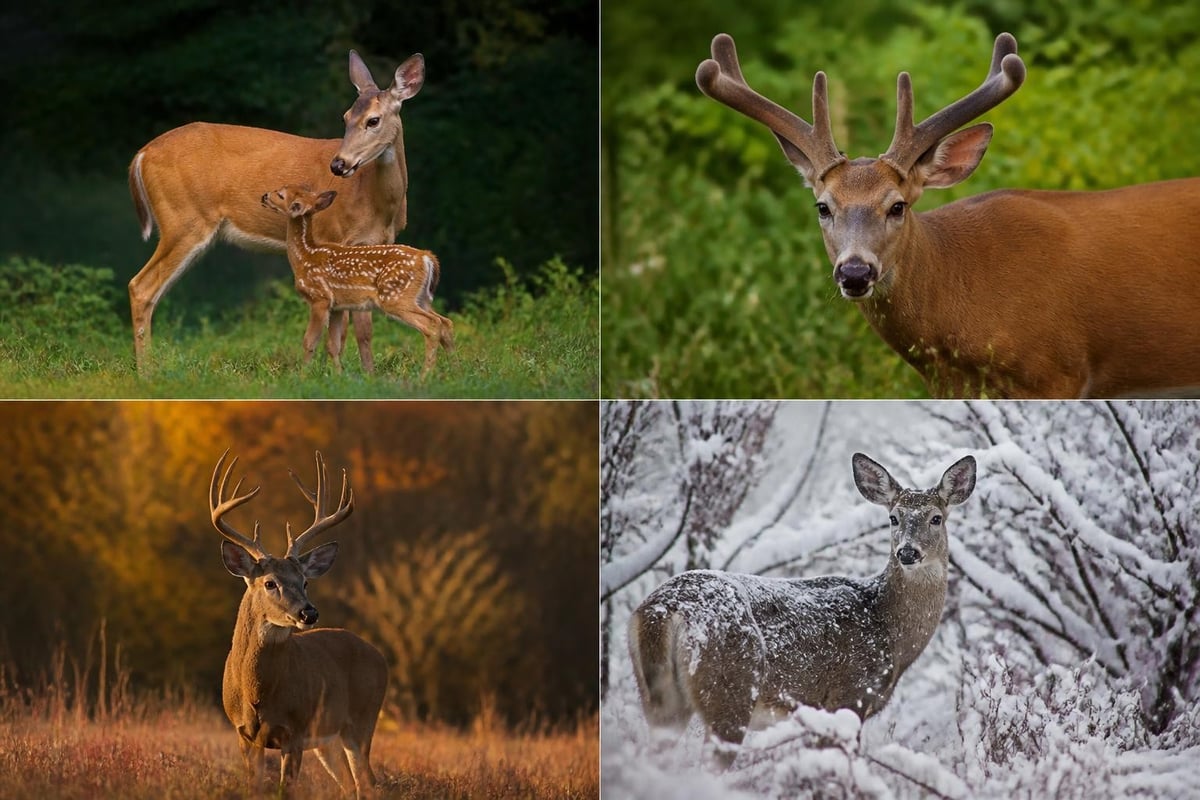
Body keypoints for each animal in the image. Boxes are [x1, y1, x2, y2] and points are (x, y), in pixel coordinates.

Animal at [128, 50, 424, 373]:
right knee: (141, 287)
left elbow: (359, 327)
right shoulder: (336, 238)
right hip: (184, 219)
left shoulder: (376, 246)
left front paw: (358, 374)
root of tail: (141, 155)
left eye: (373, 120)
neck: (377, 201)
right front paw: (347, 374)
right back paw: (146, 372)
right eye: (345, 117)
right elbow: (350, 326)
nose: (338, 164)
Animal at [210, 449, 388, 798]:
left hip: (362, 720)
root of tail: (380, 656)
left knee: (369, 784)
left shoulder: (294, 731)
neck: (258, 693)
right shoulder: (244, 735)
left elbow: (285, 791)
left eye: (305, 582)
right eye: (270, 583)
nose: (310, 613)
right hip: (327, 741)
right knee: (350, 786)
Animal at [261, 185, 454, 378]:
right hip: (422, 298)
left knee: (432, 324)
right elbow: (333, 345)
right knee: (445, 322)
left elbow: (309, 342)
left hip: (395, 296)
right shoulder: (337, 306)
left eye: (281, 194)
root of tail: (427, 258)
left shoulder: (319, 298)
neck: (304, 256)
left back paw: (425, 375)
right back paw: (455, 369)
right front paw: (339, 376)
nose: (264, 196)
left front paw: (302, 376)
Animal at [628, 452, 976, 765]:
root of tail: (664, 609)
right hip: (730, 685)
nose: (907, 552)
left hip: (660, 697)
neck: (888, 626)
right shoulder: (848, 695)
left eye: (936, 518)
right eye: (894, 518)